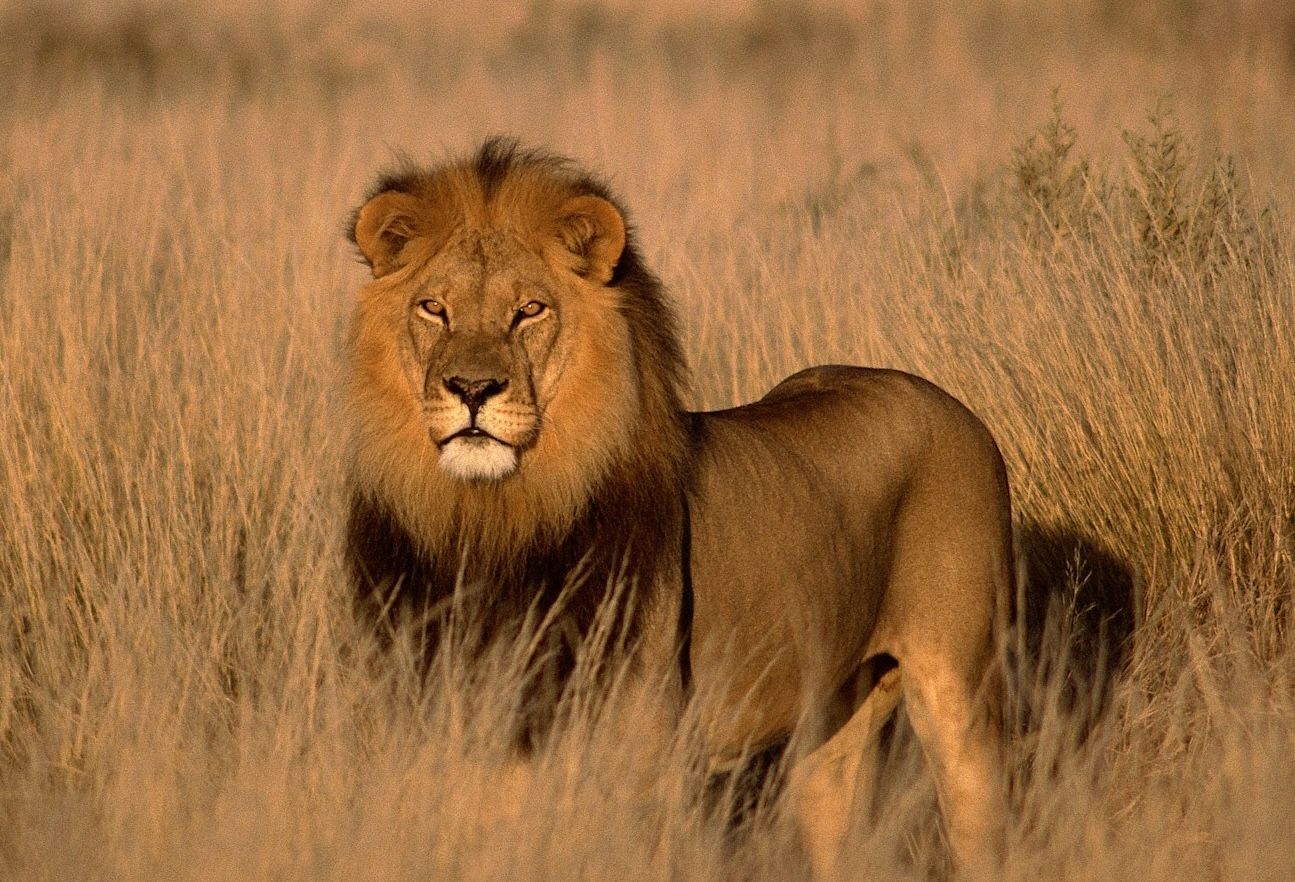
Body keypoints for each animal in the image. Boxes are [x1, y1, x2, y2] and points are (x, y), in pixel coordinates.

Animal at [344, 137, 1012, 877]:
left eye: (530, 311)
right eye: (433, 309)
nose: (470, 388)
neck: (494, 522)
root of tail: (951, 404)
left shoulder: (637, 758)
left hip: (961, 694)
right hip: (833, 724)